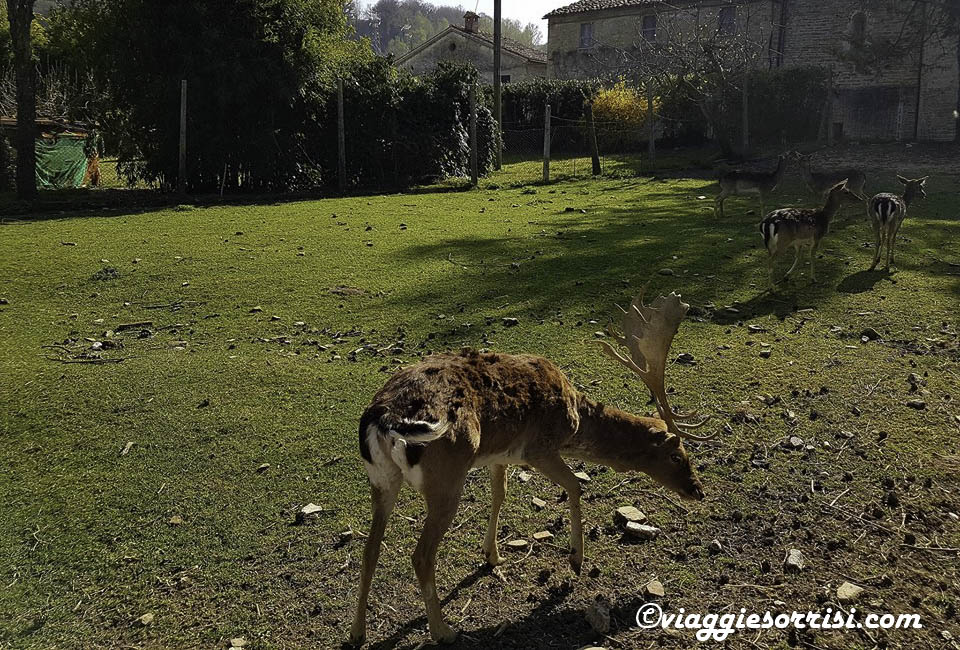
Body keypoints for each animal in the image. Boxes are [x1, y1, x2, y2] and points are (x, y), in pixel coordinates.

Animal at [350, 292, 712, 644]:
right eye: (676, 455)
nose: (698, 490)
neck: (574, 419)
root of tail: (383, 418)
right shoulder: (538, 449)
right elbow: (575, 485)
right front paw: (576, 560)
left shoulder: (498, 454)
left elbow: (500, 494)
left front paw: (492, 555)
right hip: (446, 476)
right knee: (421, 555)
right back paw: (443, 631)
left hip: (382, 479)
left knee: (369, 549)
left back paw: (357, 633)